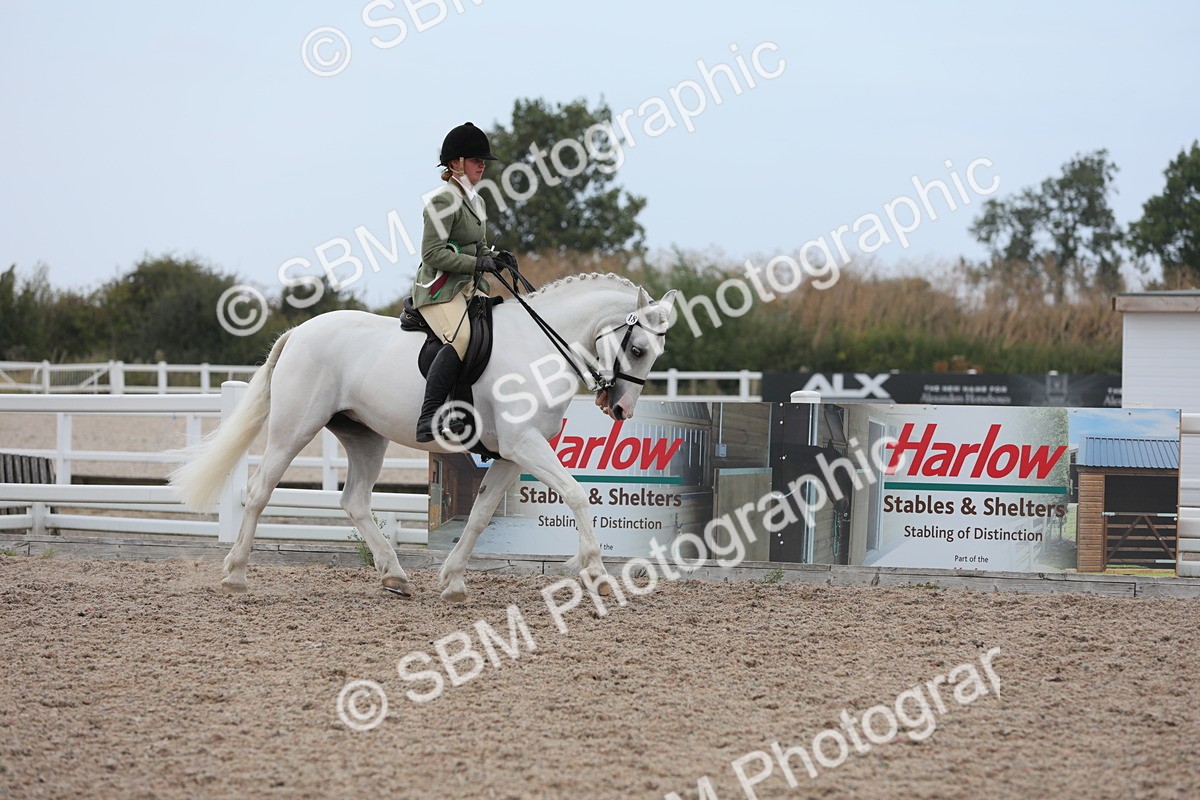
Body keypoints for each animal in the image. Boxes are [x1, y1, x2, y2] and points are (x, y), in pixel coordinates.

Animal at [169, 273, 678, 602]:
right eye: (637, 348)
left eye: (657, 351)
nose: (619, 409)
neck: (539, 347)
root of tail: (297, 333)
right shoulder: (525, 445)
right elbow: (575, 494)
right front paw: (593, 570)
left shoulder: (510, 454)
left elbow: (480, 515)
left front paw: (452, 581)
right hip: (294, 428)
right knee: (258, 491)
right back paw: (235, 575)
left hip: (365, 438)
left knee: (354, 501)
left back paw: (394, 576)